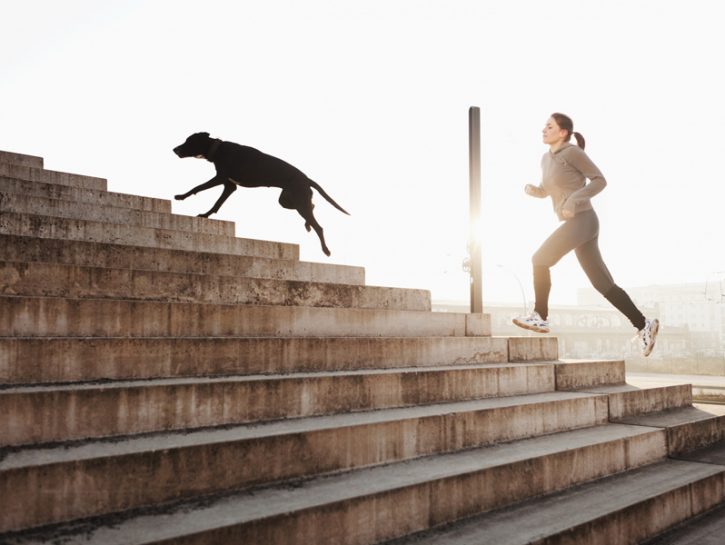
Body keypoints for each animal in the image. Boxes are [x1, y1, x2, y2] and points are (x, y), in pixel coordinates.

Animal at [173, 134, 348, 258]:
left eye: (188, 141)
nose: (174, 149)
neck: (218, 149)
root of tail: (307, 179)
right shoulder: (230, 186)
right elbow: (217, 204)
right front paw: (205, 215)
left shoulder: (220, 178)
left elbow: (197, 187)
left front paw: (181, 196)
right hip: (286, 200)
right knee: (312, 206)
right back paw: (308, 225)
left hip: (298, 201)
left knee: (319, 226)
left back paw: (325, 250)